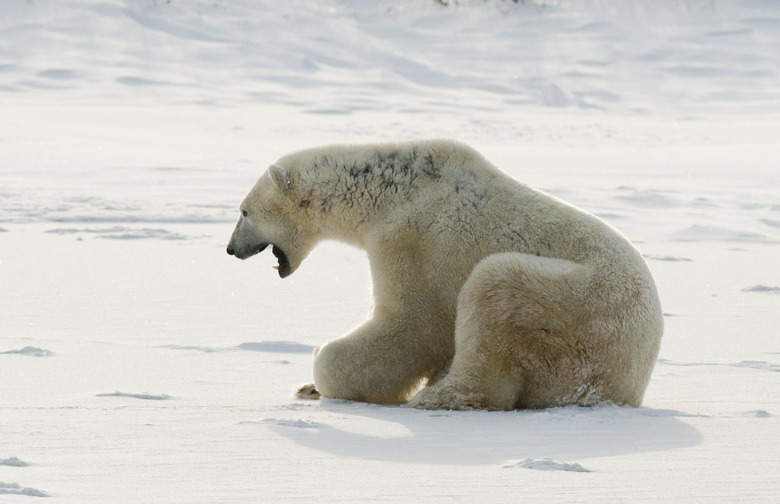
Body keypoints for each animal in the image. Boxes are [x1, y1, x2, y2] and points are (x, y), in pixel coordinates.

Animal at [227, 140, 664, 412]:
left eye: (244, 211)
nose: (231, 249)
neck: (391, 193)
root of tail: (633, 381)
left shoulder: (413, 240)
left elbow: (412, 326)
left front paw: (320, 372)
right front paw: (307, 386)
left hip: (579, 313)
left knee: (495, 292)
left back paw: (433, 397)